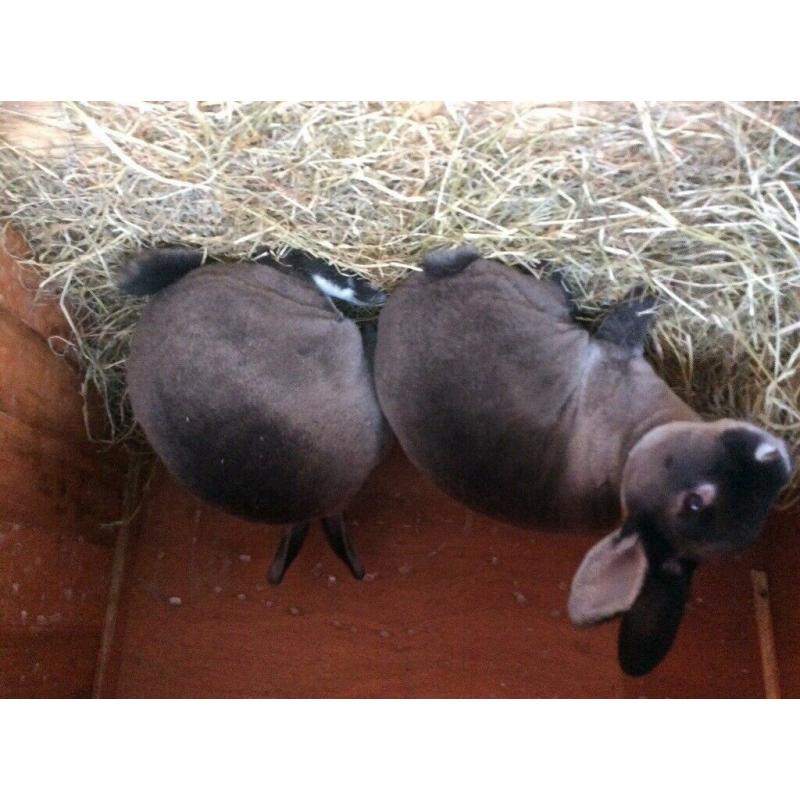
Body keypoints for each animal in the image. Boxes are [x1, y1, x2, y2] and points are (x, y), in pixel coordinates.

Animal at [374, 245, 792, 675]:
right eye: (694, 502)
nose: (777, 460)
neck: (631, 452)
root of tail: (397, 307)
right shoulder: (615, 355)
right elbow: (627, 322)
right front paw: (647, 293)